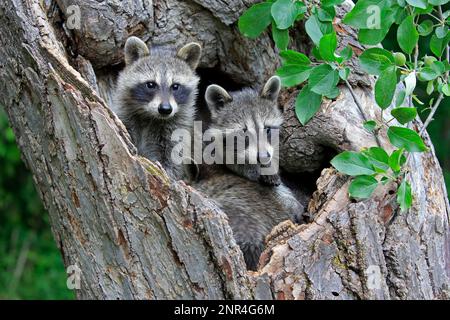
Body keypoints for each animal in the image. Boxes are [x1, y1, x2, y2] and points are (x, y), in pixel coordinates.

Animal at [113, 37, 201, 180]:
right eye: (151, 84)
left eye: (175, 86)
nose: (165, 109)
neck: (150, 116)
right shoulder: (125, 114)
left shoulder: (175, 126)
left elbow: (173, 155)